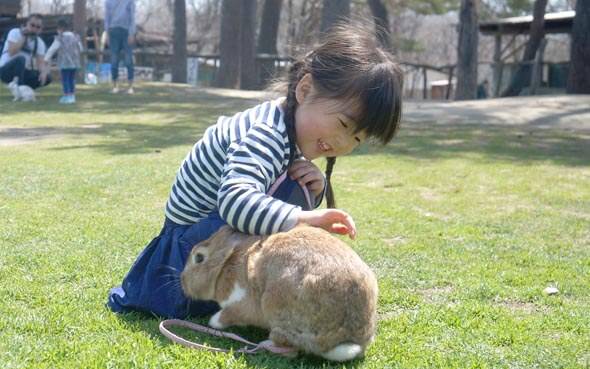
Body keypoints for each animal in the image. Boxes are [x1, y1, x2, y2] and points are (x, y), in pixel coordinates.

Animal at [180, 224, 380, 360]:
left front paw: (213, 321)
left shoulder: (242, 305)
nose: (182, 281)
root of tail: (348, 339)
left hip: (276, 309)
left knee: (289, 347)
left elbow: (226, 316)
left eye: (199, 258)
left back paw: (264, 344)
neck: (226, 264)